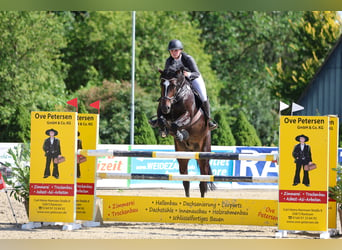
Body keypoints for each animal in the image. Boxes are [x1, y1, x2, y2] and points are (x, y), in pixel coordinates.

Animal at [154, 66, 214, 197]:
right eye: (161, 84)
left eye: (173, 85)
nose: (165, 107)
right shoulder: (162, 112)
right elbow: (162, 120)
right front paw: (164, 130)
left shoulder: (188, 116)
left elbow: (176, 124)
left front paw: (180, 134)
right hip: (182, 157)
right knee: (186, 182)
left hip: (203, 154)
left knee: (203, 183)